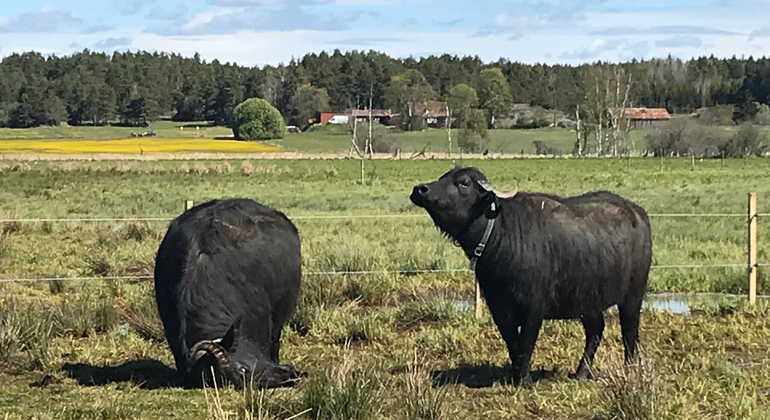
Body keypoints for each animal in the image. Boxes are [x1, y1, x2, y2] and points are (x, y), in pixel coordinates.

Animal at [408, 166, 648, 386]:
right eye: (443, 177)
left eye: (464, 183)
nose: (420, 189)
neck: (502, 235)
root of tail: (638, 214)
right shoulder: (499, 307)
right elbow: (512, 343)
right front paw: (516, 374)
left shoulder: (534, 309)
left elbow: (526, 342)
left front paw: (524, 379)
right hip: (588, 301)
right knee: (595, 330)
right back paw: (581, 372)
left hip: (632, 296)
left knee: (629, 333)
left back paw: (629, 370)